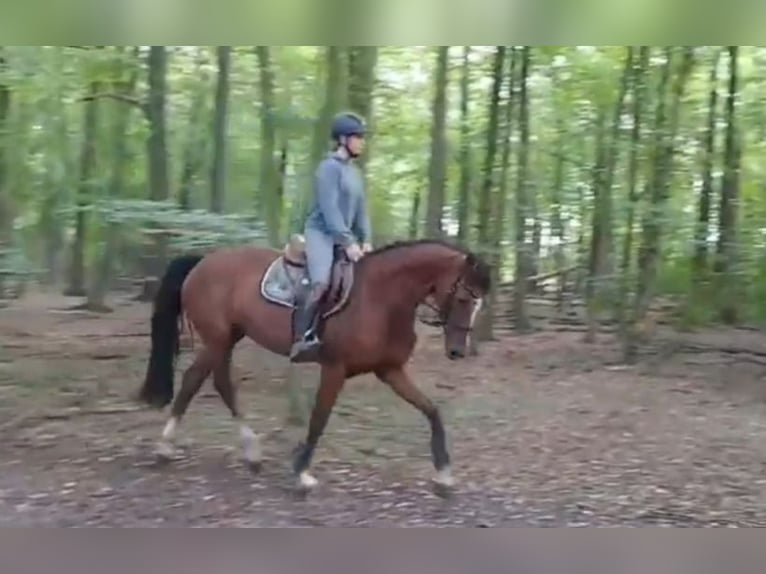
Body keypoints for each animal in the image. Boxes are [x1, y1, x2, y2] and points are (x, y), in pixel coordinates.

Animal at [138, 236, 492, 498]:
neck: (383, 297)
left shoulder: (390, 371)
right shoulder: (335, 369)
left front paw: (444, 475)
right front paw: (301, 474)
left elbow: (432, 411)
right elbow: (319, 419)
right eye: (464, 298)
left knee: (220, 382)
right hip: (216, 339)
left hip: (228, 339)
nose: (457, 351)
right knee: (193, 380)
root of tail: (203, 262)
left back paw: (251, 453)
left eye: (479, 303)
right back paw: (164, 448)